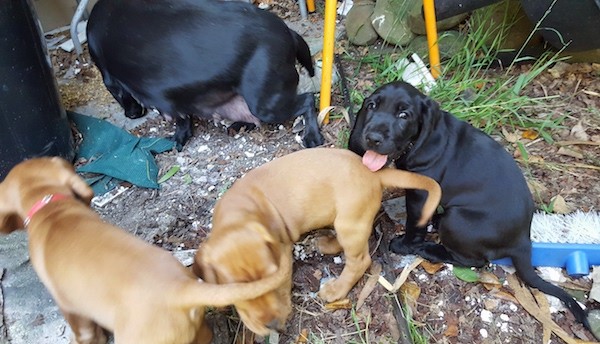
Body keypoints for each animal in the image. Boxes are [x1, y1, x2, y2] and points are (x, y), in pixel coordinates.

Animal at [84, 0, 324, 148]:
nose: (133, 114)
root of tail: (289, 32)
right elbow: (183, 117)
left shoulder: (112, 78)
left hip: (265, 103)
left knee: (307, 100)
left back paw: (312, 136)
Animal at [193, 148, 440, 336]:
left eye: (275, 281)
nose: (276, 327)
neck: (240, 213)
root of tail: (373, 174)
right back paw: (325, 243)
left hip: (349, 222)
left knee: (360, 260)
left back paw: (336, 288)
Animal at [346, 81, 592, 334]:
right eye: (372, 106)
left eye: (404, 115)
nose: (372, 138)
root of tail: (523, 240)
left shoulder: (421, 194)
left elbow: (415, 224)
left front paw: (404, 245)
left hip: (457, 220)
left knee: (475, 261)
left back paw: (430, 250)